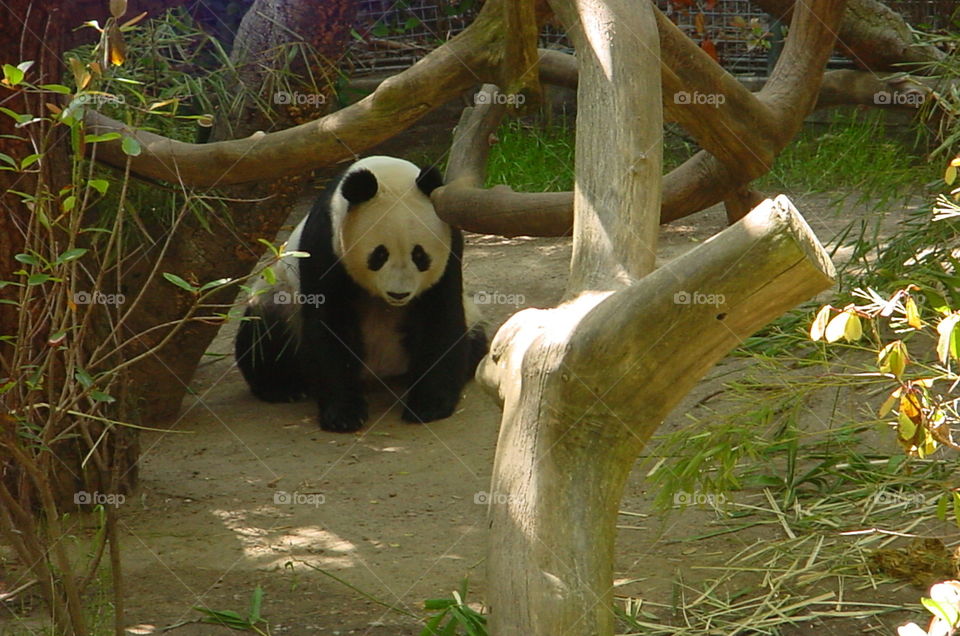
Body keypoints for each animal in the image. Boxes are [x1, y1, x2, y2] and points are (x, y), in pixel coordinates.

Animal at [235, 155, 487, 433]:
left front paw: (428, 406)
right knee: (264, 330)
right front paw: (344, 415)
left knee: (475, 338)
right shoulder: (326, 243)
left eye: (420, 256)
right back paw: (283, 387)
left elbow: (440, 317)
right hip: (280, 297)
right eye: (379, 255)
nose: (399, 294)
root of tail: (380, 371)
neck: (385, 173)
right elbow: (328, 322)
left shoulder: (450, 245)